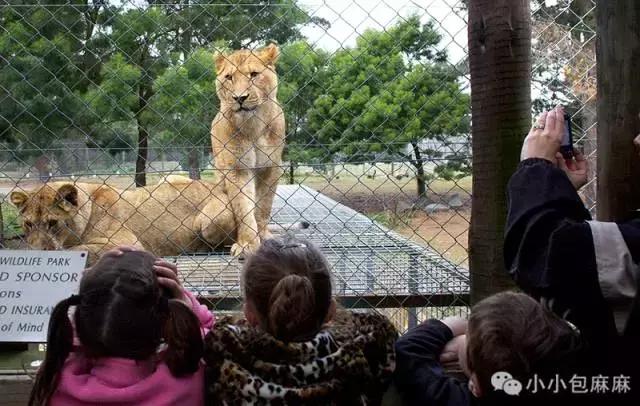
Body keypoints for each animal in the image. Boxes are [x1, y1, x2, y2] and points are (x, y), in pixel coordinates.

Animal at [212, 43, 284, 254]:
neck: (254, 127)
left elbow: (263, 207)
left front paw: (263, 237)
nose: (239, 98)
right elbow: (244, 207)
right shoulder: (237, 169)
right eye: (229, 77)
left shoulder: (271, 167)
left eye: (254, 74)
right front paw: (247, 244)